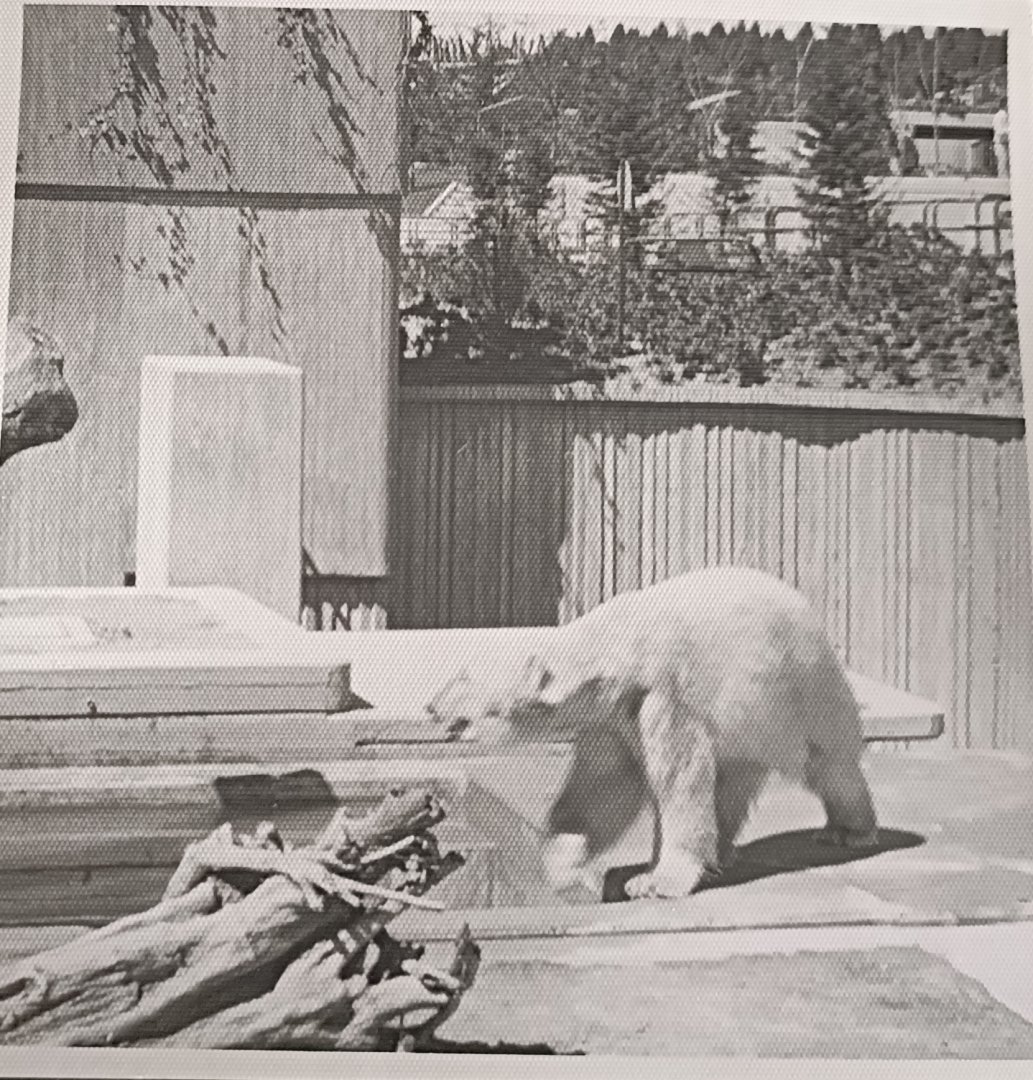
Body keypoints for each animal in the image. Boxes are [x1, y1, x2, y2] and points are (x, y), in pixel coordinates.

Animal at [425, 565, 879, 900]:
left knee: (829, 763)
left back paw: (848, 830)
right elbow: (603, 788)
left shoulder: (663, 696)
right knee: (732, 778)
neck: (618, 649)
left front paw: (654, 882)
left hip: (802, 689)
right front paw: (564, 866)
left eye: (464, 679)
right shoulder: (612, 719)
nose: (432, 705)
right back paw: (723, 851)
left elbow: (680, 778)